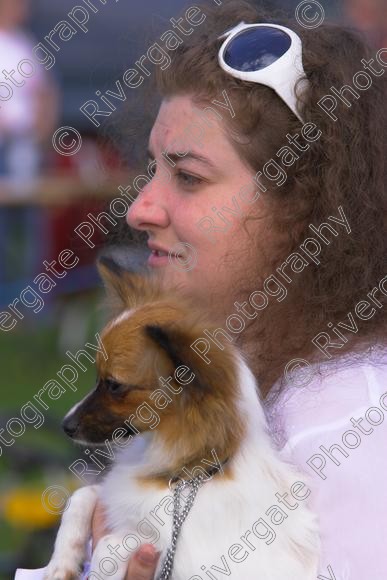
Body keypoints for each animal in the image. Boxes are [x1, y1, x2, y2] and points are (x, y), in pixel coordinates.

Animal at [44, 260, 320, 580]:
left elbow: (112, 544)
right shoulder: (115, 497)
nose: (65, 425)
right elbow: (82, 496)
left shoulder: (185, 556)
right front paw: (59, 564)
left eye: (113, 385)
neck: (185, 473)